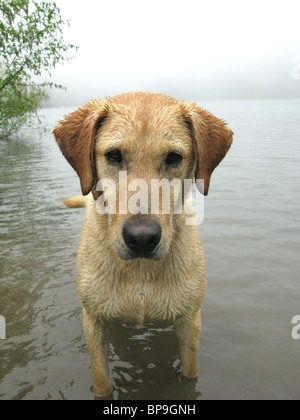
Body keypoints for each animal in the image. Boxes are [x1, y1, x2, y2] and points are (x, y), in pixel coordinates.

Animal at [53, 92, 232, 398]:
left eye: (173, 157)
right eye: (114, 155)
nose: (142, 238)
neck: (139, 272)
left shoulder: (189, 321)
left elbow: (189, 373)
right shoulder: (93, 321)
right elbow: (102, 382)